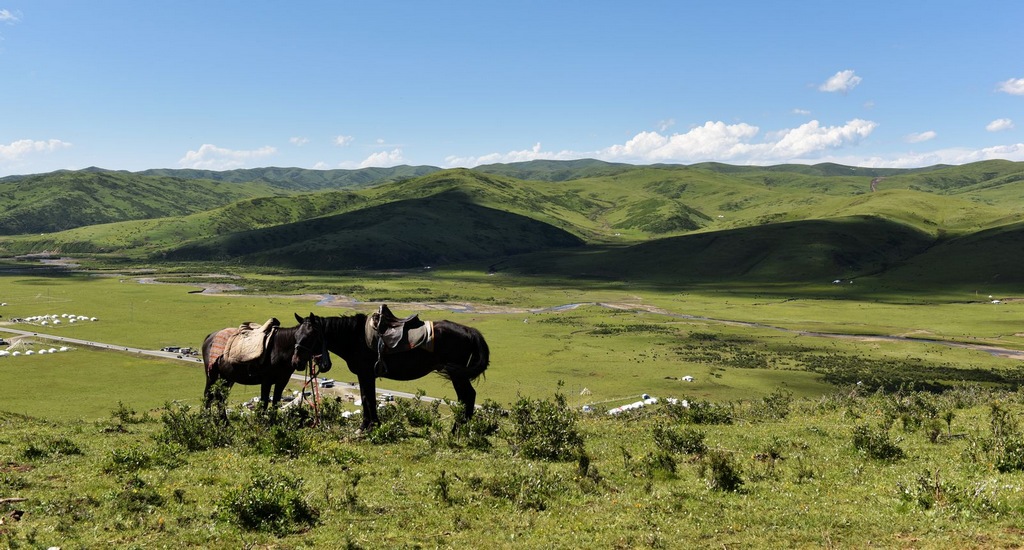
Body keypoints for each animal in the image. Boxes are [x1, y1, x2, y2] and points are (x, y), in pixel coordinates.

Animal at [203, 315, 335, 409]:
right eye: (297, 336)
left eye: (312, 336)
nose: (296, 361)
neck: (279, 350)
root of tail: (210, 337)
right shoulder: (266, 381)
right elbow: (264, 404)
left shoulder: (282, 381)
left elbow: (275, 403)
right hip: (212, 377)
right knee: (208, 398)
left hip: (227, 379)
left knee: (220, 400)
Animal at [294, 309, 489, 428]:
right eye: (296, 334)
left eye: (310, 335)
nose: (296, 362)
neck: (355, 338)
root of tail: (469, 331)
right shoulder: (364, 375)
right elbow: (367, 398)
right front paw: (370, 425)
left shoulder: (366, 374)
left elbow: (368, 399)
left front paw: (367, 426)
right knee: (465, 397)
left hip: (458, 375)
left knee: (468, 396)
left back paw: (458, 430)